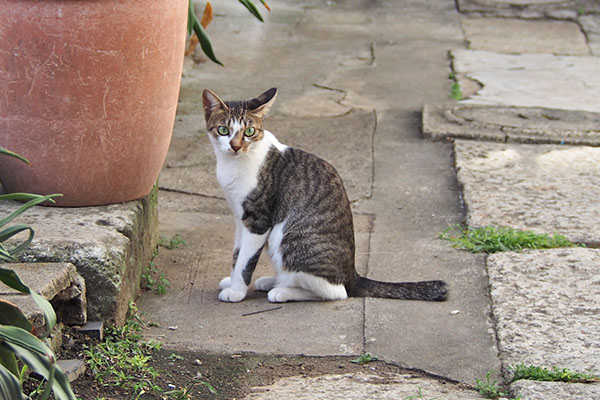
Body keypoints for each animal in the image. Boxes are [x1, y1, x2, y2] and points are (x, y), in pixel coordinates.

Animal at [202, 87, 446, 304]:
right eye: (223, 130)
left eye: (249, 132)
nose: (235, 146)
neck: (235, 163)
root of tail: (352, 275)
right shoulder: (239, 218)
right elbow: (237, 254)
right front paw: (231, 281)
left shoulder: (258, 221)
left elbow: (246, 260)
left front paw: (236, 291)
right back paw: (275, 281)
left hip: (287, 239)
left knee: (336, 292)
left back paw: (282, 291)